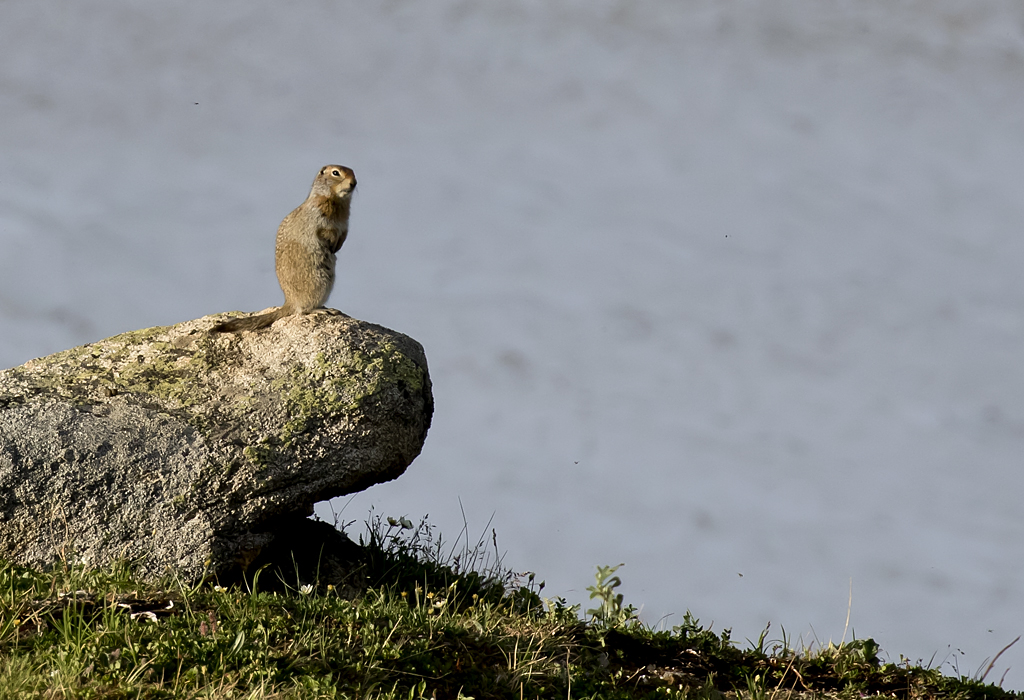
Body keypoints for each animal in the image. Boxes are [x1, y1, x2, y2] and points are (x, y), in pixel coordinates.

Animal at [211, 163, 356, 333]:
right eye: (335, 173)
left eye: (353, 172)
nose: (354, 183)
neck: (337, 201)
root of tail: (289, 302)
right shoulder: (319, 217)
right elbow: (325, 231)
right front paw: (332, 245)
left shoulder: (345, 224)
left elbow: (343, 235)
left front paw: (337, 246)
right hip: (319, 282)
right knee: (303, 310)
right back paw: (322, 310)